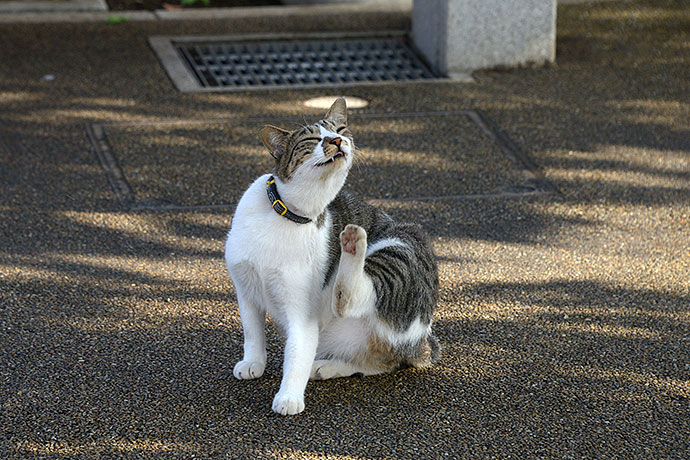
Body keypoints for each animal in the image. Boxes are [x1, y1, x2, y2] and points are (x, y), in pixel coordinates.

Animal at [227, 95, 440, 416]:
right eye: (312, 138)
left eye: (340, 129)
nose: (337, 140)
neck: (289, 215)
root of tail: (420, 343)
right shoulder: (246, 288)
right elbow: (252, 332)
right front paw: (254, 362)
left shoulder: (301, 312)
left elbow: (297, 352)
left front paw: (289, 396)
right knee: (380, 361)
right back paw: (329, 366)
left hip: (403, 246)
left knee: (353, 298)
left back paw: (353, 244)